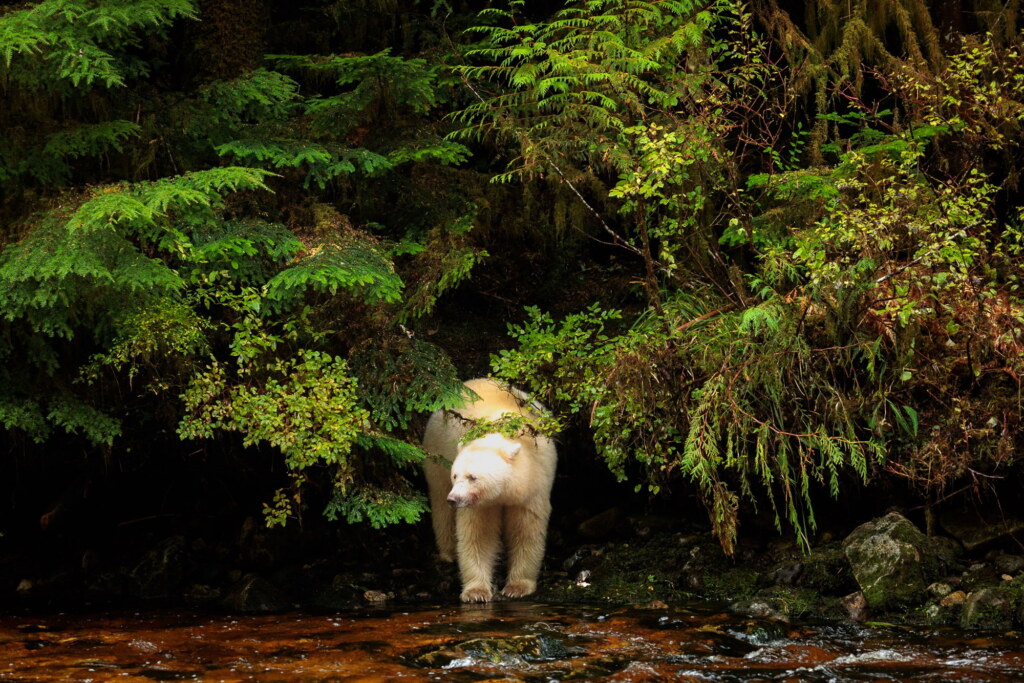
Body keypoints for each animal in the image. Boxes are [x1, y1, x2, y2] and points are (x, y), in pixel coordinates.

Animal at [422, 378, 557, 603]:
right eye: (456, 475)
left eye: (472, 477)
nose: (454, 499)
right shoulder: (477, 503)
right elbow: (478, 535)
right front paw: (476, 592)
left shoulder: (533, 486)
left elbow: (526, 530)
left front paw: (517, 587)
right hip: (437, 454)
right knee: (440, 502)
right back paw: (448, 552)